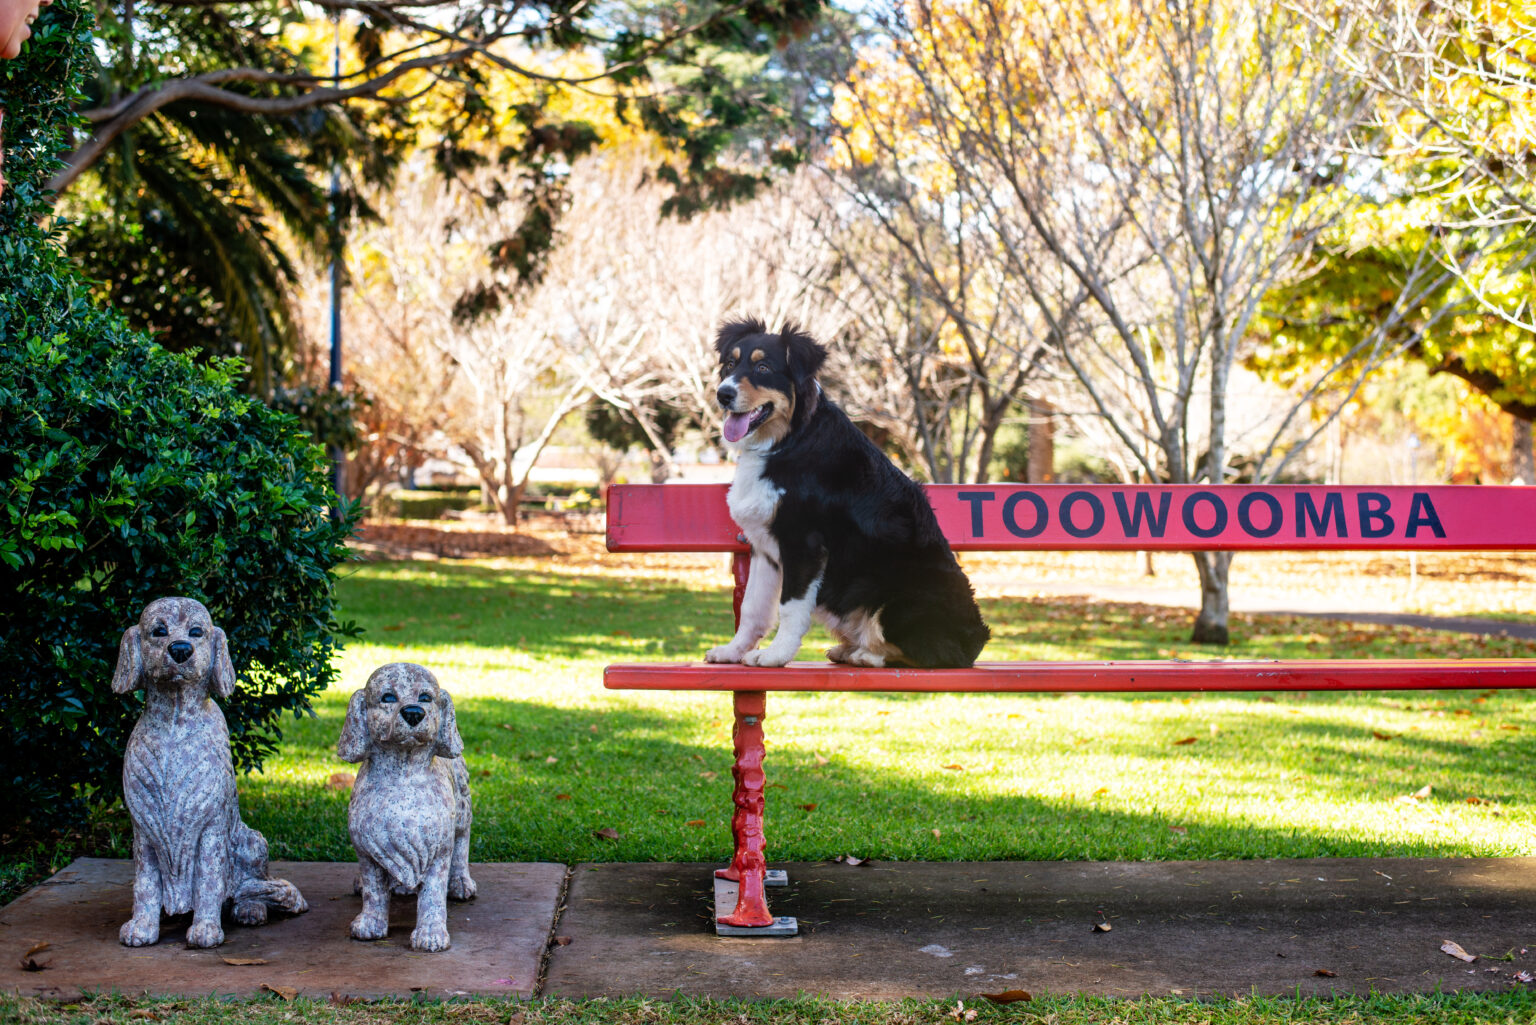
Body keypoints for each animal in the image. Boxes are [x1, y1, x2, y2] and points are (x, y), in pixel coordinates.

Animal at [113, 597, 308, 948]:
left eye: (196, 631)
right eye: (158, 631)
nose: (180, 649)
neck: (175, 722)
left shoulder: (211, 827)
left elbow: (208, 880)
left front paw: (205, 928)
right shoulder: (144, 829)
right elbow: (145, 885)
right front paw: (142, 927)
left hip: (253, 839)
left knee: (249, 888)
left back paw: (249, 910)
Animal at [337, 662, 475, 952]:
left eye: (426, 697)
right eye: (388, 697)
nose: (413, 713)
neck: (403, 778)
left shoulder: (437, 848)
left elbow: (433, 894)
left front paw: (431, 933)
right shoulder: (368, 848)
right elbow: (374, 891)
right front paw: (370, 923)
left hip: (462, 806)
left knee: (462, 841)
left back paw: (460, 882)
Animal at [705, 318, 990, 669]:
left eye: (762, 367)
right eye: (730, 365)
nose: (723, 394)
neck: (788, 440)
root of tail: (976, 640)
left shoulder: (804, 544)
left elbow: (790, 608)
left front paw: (775, 655)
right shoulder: (764, 547)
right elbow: (752, 608)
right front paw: (733, 651)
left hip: (899, 598)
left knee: (932, 654)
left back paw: (865, 654)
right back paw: (850, 649)